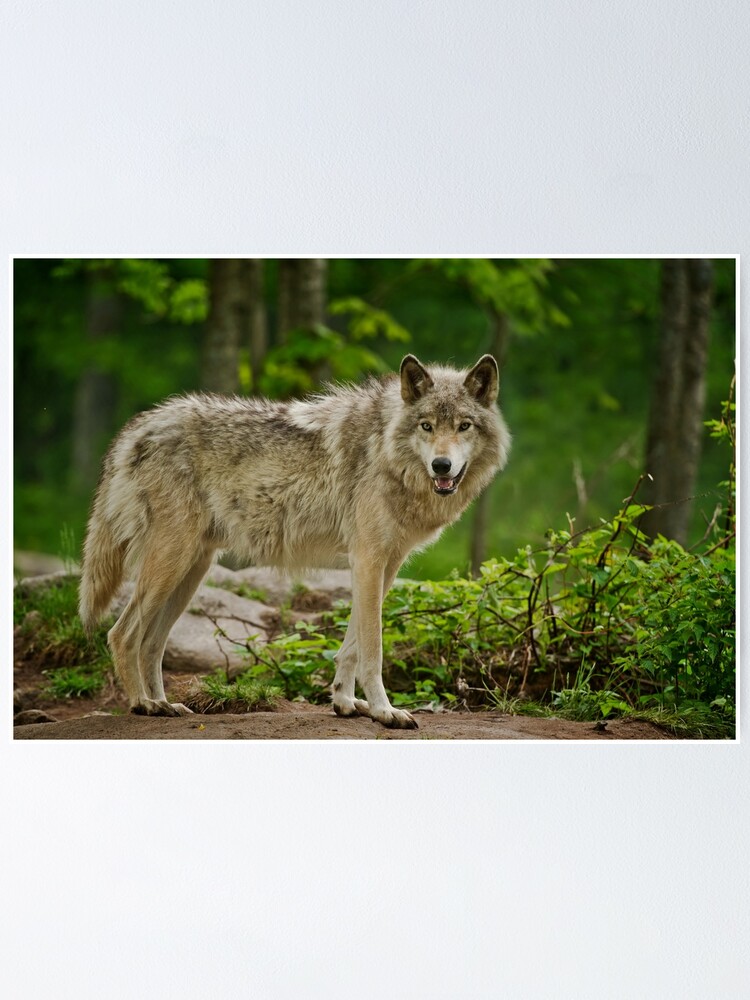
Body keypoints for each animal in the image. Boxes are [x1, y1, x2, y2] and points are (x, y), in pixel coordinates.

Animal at [79, 354, 511, 729]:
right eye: (426, 426)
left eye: (464, 426)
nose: (442, 466)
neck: (386, 450)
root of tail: (139, 424)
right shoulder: (368, 561)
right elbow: (372, 650)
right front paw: (385, 711)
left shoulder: (384, 567)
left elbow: (351, 645)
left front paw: (345, 702)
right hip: (171, 563)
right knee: (122, 634)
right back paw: (143, 704)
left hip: (191, 572)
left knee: (151, 643)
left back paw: (165, 704)